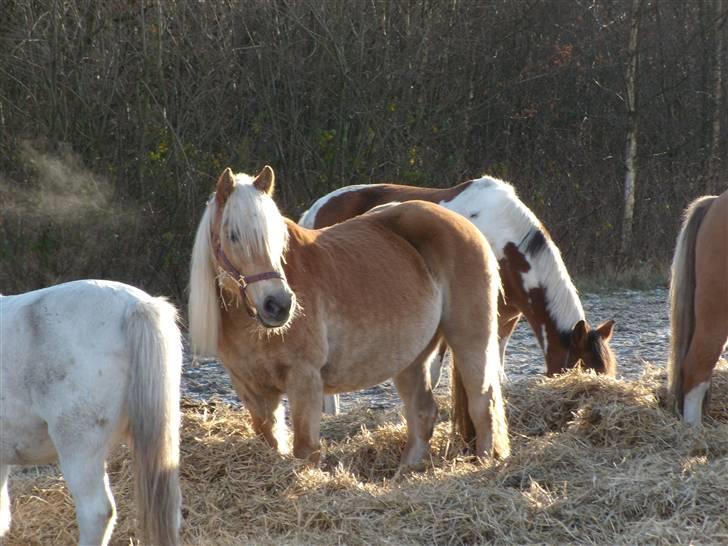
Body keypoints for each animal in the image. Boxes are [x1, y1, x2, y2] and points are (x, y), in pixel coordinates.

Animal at [189, 166, 512, 464]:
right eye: (232, 235)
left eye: (277, 237)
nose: (278, 305)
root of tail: (464, 224)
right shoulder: (252, 390)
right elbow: (272, 443)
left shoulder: (305, 380)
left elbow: (306, 450)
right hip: (411, 357)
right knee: (423, 412)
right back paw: (406, 471)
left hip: (471, 340)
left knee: (482, 404)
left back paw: (484, 463)